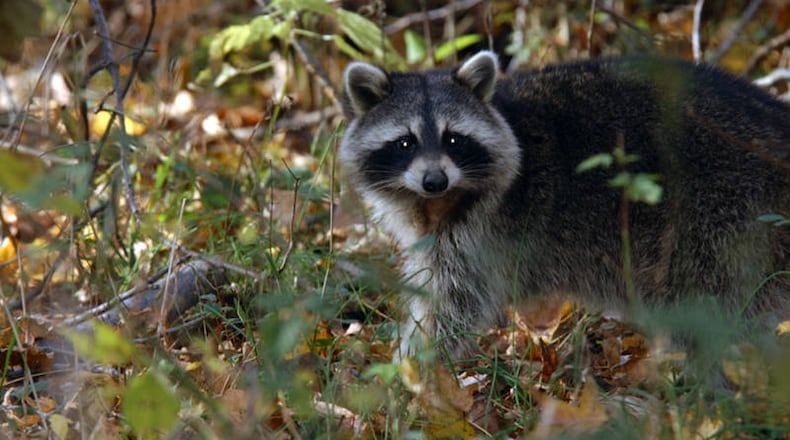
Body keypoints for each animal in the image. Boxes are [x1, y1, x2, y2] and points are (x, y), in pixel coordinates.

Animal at [339, 51, 790, 359]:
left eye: (454, 139)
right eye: (405, 143)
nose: (435, 180)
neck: (436, 201)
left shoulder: (478, 233)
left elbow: (452, 307)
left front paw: (413, 373)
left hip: (720, 214)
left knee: (707, 304)